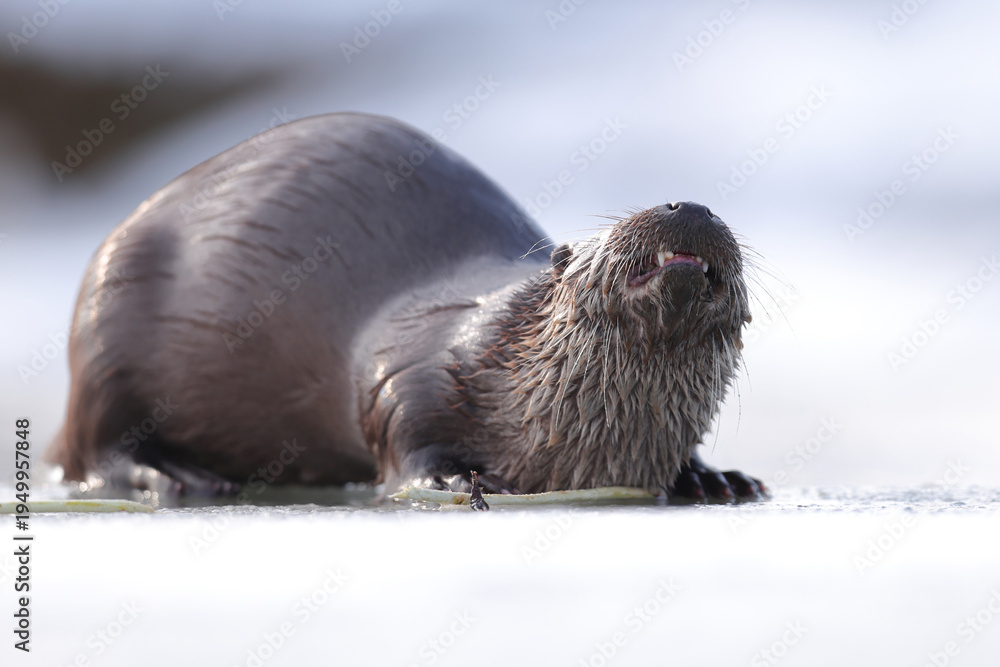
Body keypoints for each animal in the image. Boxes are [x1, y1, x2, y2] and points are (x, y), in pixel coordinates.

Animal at [48, 112, 765, 503]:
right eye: (605, 231)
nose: (691, 204)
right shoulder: (414, 366)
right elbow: (400, 429)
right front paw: (459, 481)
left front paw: (711, 477)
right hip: (108, 326)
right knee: (93, 449)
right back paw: (178, 474)